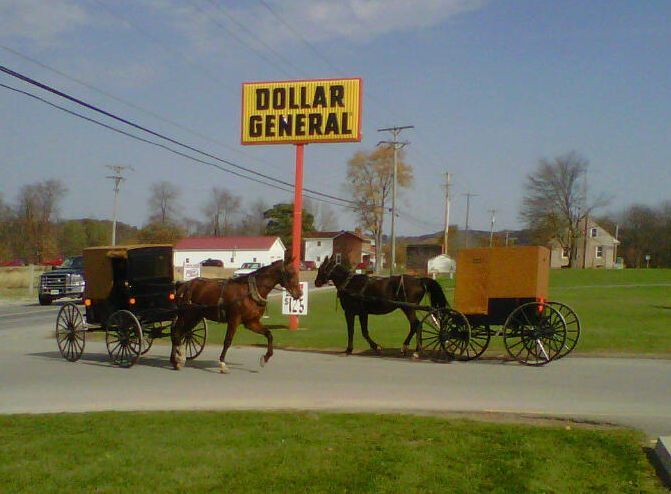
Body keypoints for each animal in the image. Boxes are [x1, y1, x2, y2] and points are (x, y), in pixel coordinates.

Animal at [171, 260, 302, 372]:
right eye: (290, 274)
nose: (299, 294)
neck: (250, 292)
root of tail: (184, 285)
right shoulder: (234, 320)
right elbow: (227, 341)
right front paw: (222, 364)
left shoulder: (251, 322)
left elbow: (269, 334)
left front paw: (265, 357)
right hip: (187, 315)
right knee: (177, 332)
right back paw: (176, 360)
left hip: (195, 316)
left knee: (182, 333)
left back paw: (178, 358)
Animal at [314, 255, 446, 356]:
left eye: (321, 268)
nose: (316, 282)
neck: (350, 284)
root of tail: (419, 280)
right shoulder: (362, 313)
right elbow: (364, 332)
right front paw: (375, 347)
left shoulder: (350, 313)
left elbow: (352, 331)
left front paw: (350, 349)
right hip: (409, 308)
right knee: (418, 325)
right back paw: (417, 349)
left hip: (408, 308)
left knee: (415, 324)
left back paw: (407, 348)